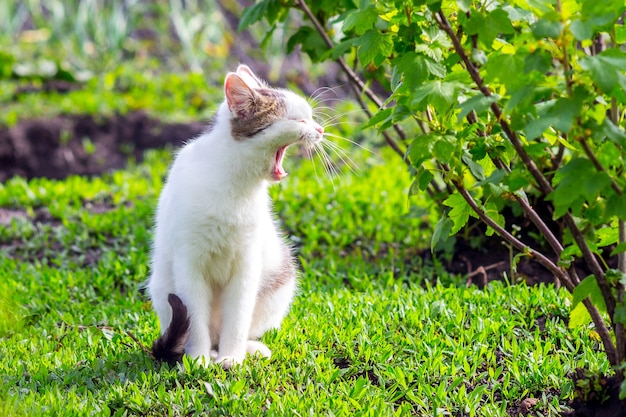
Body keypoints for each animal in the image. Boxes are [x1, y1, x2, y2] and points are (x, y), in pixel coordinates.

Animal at [146, 65, 322, 368]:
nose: (320, 129)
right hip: (162, 286)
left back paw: (246, 350)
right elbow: (195, 317)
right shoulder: (189, 263)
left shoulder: (248, 263)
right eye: (299, 120)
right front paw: (198, 359)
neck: (237, 184)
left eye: (311, 118)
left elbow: (238, 316)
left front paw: (232, 358)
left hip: (279, 282)